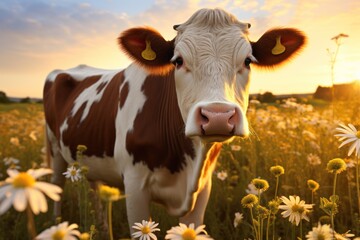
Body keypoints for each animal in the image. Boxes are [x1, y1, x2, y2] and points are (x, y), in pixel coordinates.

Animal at [43, 7, 306, 234]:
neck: (186, 165)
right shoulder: (135, 185)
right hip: (55, 151)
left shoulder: (203, 188)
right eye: (178, 61)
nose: (217, 116)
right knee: (57, 187)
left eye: (248, 61)